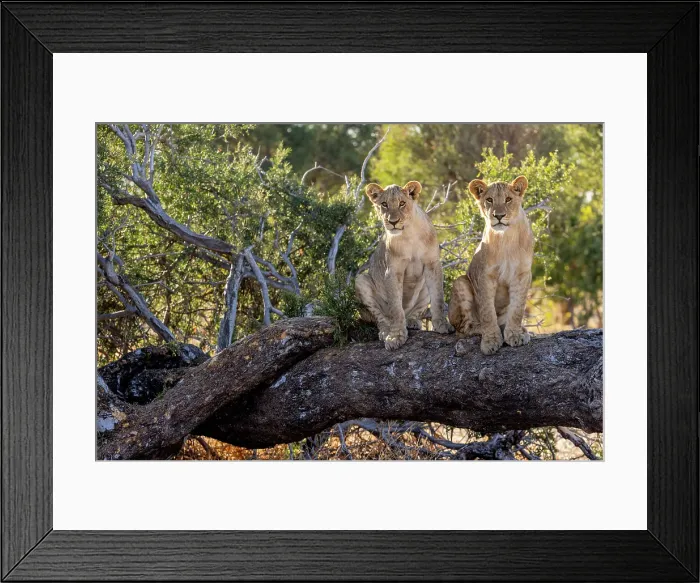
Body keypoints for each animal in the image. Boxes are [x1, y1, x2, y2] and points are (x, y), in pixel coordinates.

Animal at [355, 181, 454, 350]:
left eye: (402, 203)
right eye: (384, 204)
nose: (393, 222)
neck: (409, 234)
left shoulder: (432, 265)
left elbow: (438, 299)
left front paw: (443, 326)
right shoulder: (392, 271)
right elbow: (396, 308)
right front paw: (396, 336)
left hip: (423, 288)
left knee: (414, 312)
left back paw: (413, 321)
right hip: (360, 281)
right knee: (381, 318)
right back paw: (385, 331)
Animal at [448, 175, 534, 355]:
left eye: (508, 199)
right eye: (489, 200)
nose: (498, 215)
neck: (506, 238)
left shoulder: (522, 274)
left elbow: (517, 309)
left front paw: (515, 335)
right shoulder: (484, 276)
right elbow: (487, 311)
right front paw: (491, 340)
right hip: (460, 282)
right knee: (463, 329)